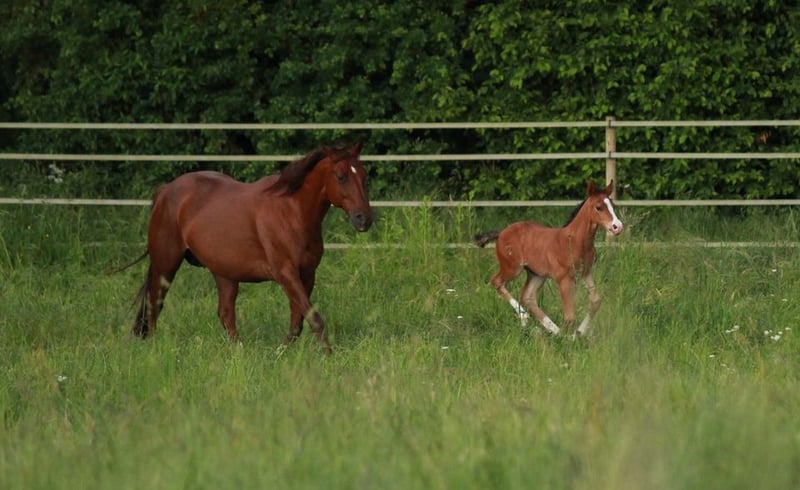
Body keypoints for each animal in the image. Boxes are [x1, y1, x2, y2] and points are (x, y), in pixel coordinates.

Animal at [123, 142, 373, 354]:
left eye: (363, 175)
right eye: (341, 176)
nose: (364, 219)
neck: (293, 212)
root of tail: (165, 191)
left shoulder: (307, 274)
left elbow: (298, 322)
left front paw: (279, 352)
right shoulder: (286, 274)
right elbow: (314, 318)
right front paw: (330, 355)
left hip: (224, 273)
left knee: (225, 314)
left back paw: (239, 353)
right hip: (166, 264)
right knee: (155, 305)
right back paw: (153, 348)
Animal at [475, 181, 623, 338]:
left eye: (613, 206)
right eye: (598, 207)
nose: (618, 227)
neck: (575, 241)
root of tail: (502, 232)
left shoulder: (585, 273)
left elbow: (595, 301)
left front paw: (577, 334)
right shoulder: (564, 279)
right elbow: (570, 316)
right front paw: (569, 338)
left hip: (537, 274)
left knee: (527, 297)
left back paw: (553, 331)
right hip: (512, 268)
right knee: (497, 282)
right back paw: (526, 319)